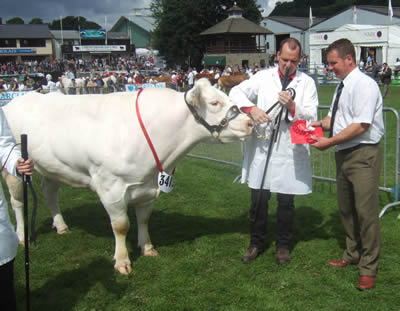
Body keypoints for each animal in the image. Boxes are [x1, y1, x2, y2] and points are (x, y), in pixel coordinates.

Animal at [2, 78, 253, 276]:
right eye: (214, 103)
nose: (250, 122)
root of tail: (16, 101)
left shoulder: (148, 188)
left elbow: (143, 219)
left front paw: (147, 247)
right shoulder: (110, 187)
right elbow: (121, 225)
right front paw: (122, 261)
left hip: (53, 166)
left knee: (49, 192)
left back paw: (61, 225)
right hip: (14, 167)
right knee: (17, 202)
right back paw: (22, 236)